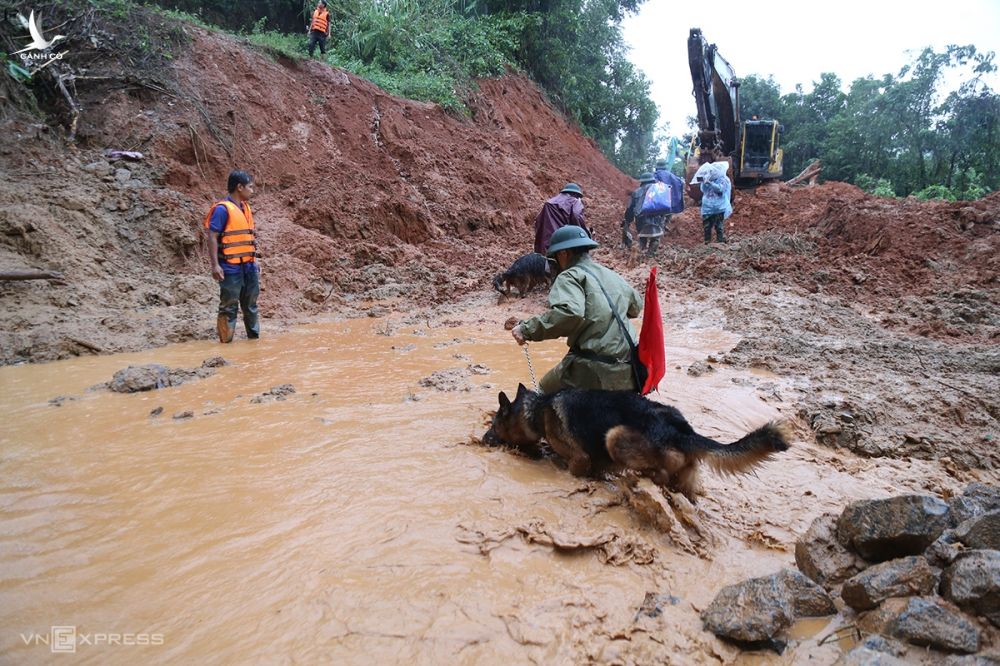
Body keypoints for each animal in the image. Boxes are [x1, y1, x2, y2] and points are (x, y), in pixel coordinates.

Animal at [482, 382, 788, 500]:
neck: (537, 410)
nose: (483, 439)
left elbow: (572, 468)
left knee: (660, 473)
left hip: (614, 436)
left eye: (494, 424)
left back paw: (641, 480)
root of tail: (683, 432)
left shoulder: (579, 460)